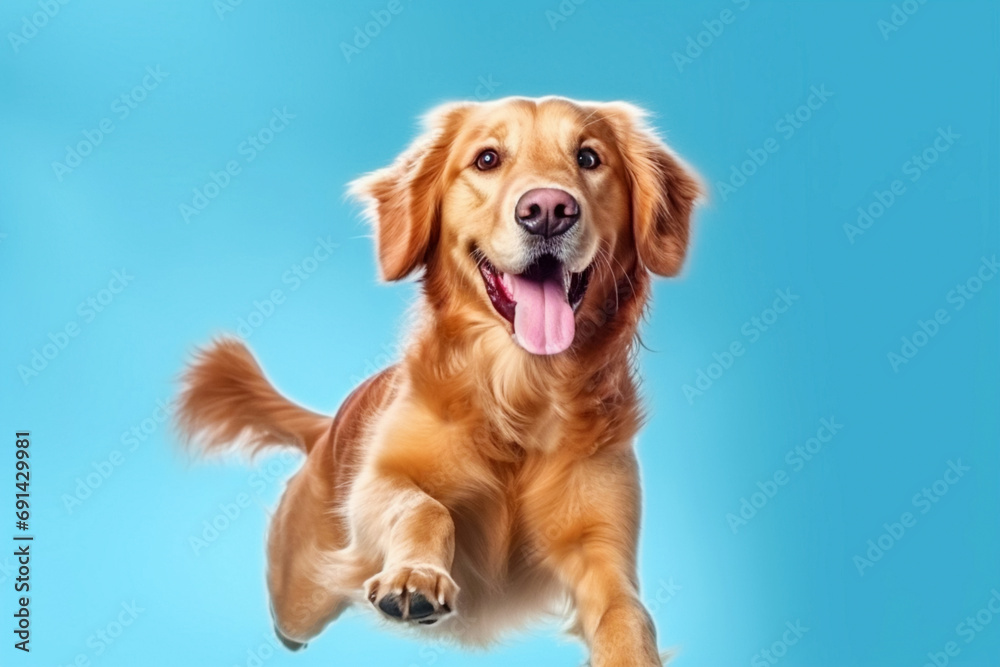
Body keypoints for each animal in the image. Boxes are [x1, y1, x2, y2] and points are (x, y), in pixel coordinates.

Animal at [176, 96, 700, 664]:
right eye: (487, 159)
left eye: (588, 158)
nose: (547, 210)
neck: (519, 393)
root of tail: (328, 427)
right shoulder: (378, 483)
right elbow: (424, 507)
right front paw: (415, 575)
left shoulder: (601, 542)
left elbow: (627, 613)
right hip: (301, 588)